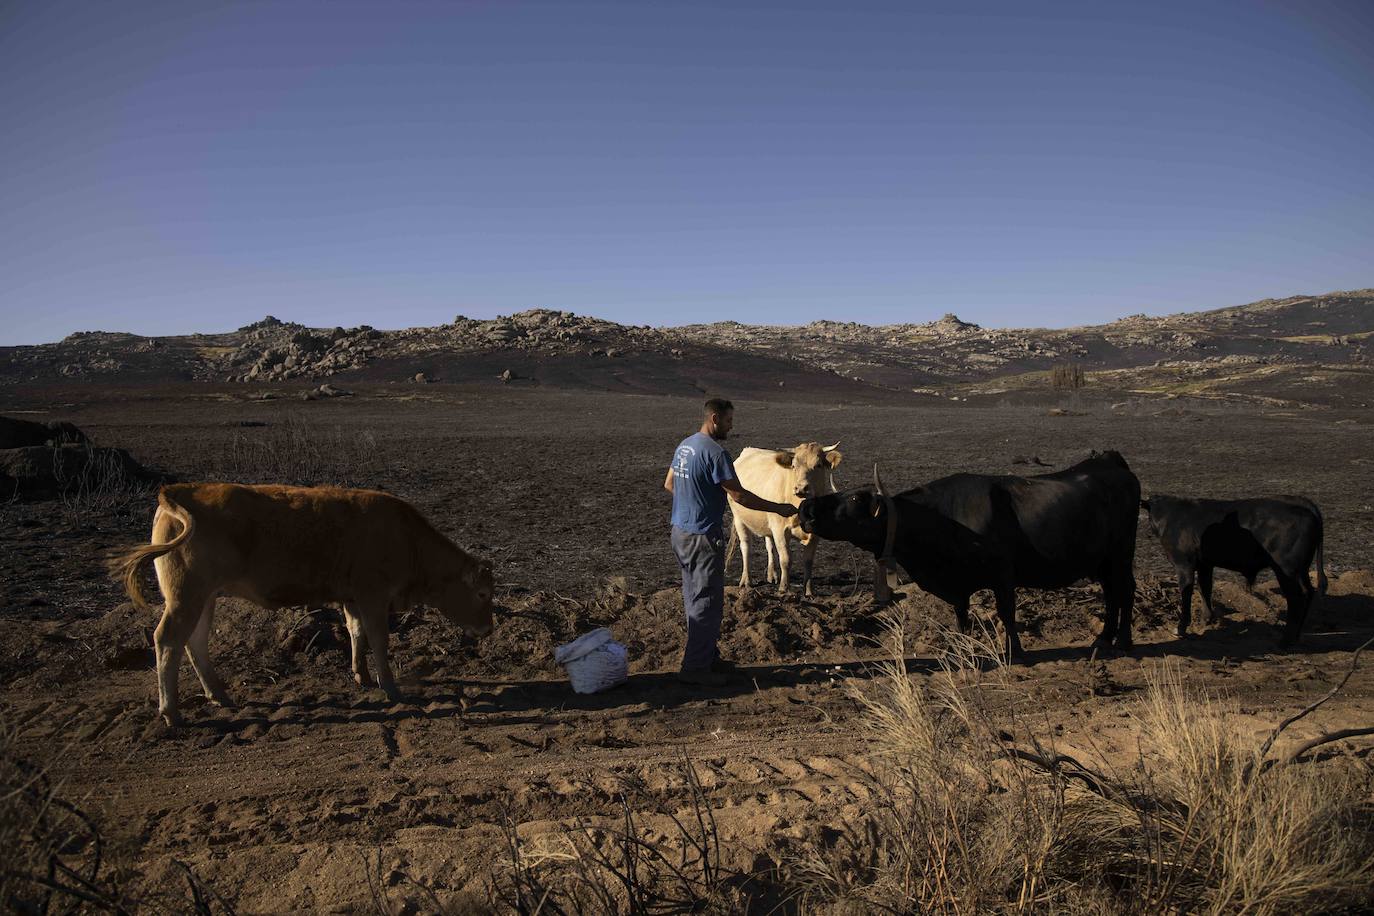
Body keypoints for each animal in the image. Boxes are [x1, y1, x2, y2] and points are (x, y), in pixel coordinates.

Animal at [111, 483, 494, 725]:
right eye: (482, 594)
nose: (489, 629)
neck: (407, 539)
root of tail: (181, 492)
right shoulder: (372, 596)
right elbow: (379, 639)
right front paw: (390, 687)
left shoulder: (351, 598)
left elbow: (357, 634)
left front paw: (362, 675)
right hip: (186, 597)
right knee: (168, 641)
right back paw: (171, 712)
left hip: (203, 598)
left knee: (195, 642)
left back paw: (218, 694)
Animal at [730, 442, 835, 598]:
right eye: (794, 466)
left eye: (818, 465)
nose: (801, 488)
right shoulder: (780, 529)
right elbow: (786, 559)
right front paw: (784, 589)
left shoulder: (815, 533)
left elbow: (808, 561)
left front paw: (809, 591)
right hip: (739, 518)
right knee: (746, 547)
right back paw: (746, 581)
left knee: (769, 545)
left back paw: (772, 575)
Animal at [796, 450, 1137, 659]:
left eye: (854, 499)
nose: (806, 508)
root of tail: (1110, 462)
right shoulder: (957, 585)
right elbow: (962, 617)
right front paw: (962, 649)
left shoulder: (1003, 574)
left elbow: (1007, 613)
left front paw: (1014, 652)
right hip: (1103, 562)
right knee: (1112, 594)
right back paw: (1104, 638)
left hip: (1121, 555)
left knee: (1125, 592)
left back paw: (1123, 641)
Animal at [1143, 494, 1324, 645]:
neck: (1170, 517)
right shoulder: (1205, 565)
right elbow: (1204, 588)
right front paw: (1206, 620)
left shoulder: (1184, 564)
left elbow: (1187, 593)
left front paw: (1181, 627)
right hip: (1301, 572)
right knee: (1308, 593)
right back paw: (1297, 635)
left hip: (1286, 571)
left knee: (1296, 599)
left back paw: (1286, 641)